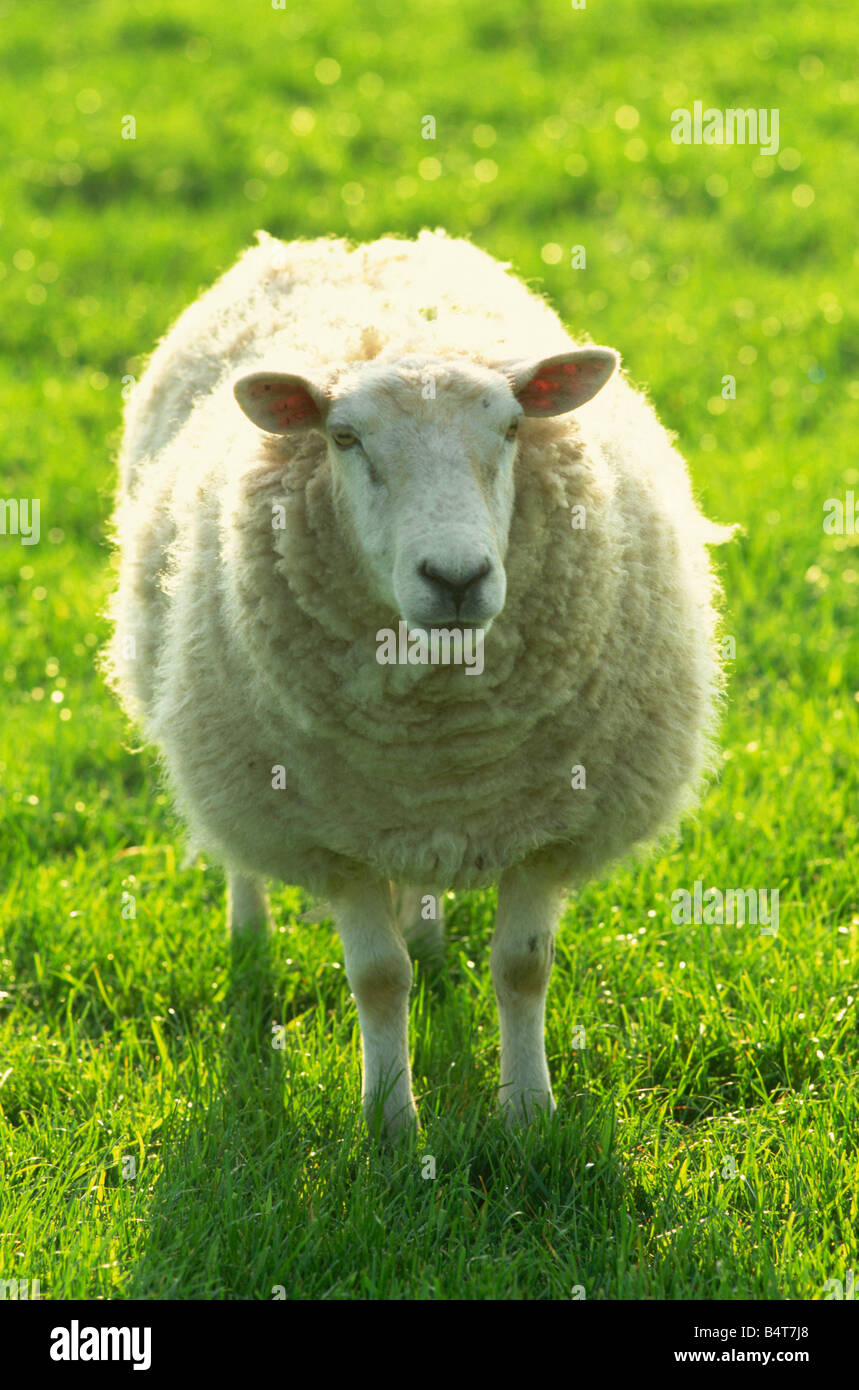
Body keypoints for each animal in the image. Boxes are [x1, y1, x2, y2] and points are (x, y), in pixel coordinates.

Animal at [103, 230, 728, 1139]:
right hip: (229, 757)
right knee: (239, 855)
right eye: (343, 437)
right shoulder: (331, 838)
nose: (457, 578)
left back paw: (429, 936)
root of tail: (357, 245)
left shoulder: (547, 825)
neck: (444, 726)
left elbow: (522, 968)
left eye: (512, 427)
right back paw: (249, 936)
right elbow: (376, 978)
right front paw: (391, 1124)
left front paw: (527, 1114)